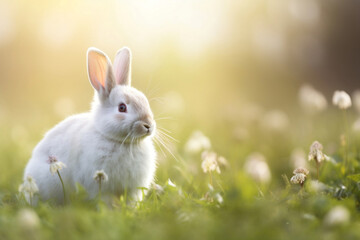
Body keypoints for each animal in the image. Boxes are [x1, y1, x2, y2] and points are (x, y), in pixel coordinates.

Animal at [23, 46, 157, 202]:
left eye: (145, 101)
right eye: (122, 107)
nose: (148, 125)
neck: (121, 141)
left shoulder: (132, 191)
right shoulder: (100, 186)